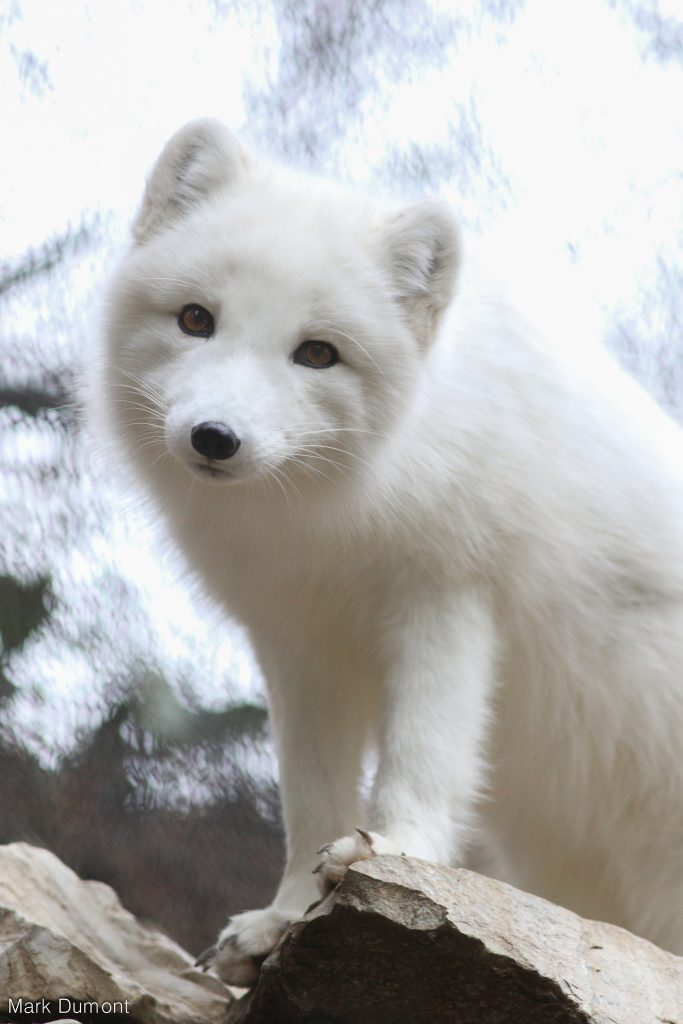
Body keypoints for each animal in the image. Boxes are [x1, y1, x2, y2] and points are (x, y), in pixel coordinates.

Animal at [100, 116, 683, 978]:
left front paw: (392, 850)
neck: (327, 521)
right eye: (195, 319)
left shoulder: (449, 596)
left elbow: (425, 752)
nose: (214, 437)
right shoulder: (297, 641)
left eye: (317, 353)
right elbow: (309, 798)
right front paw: (284, 919)